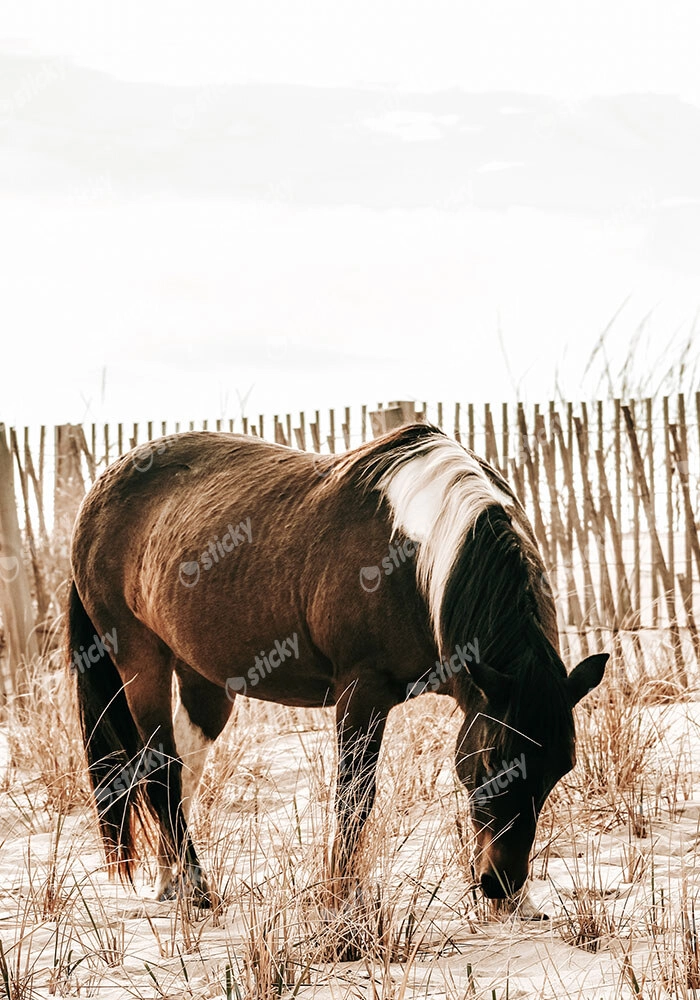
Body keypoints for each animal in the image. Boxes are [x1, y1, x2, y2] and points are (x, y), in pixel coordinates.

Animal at [68, 422, 607, 907]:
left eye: (561, 768)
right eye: (494, 759)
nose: (503, 887)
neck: (419, 557)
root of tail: (100, 489)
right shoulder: (361, 692)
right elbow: (354, 798)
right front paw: (340, 898)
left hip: (203, 677)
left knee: (180, 767)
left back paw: (171, 880)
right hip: (142, 662)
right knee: (159, 771)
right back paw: (196, 889)